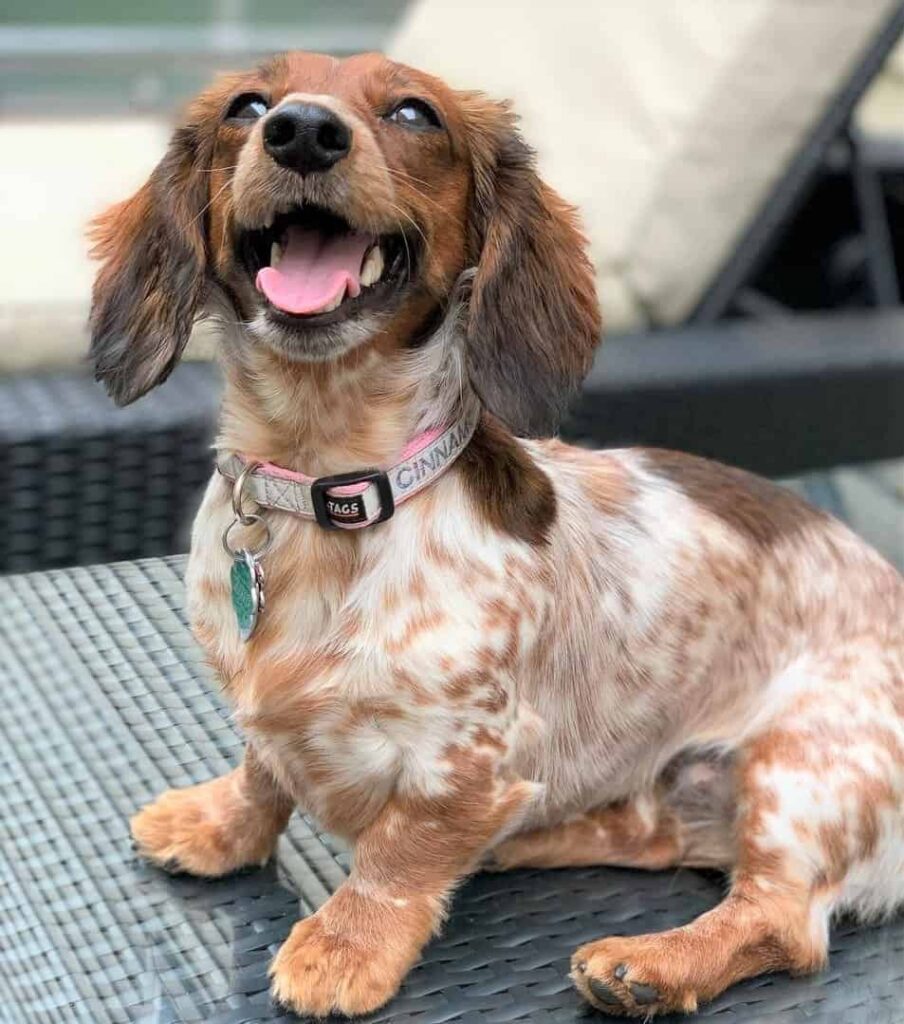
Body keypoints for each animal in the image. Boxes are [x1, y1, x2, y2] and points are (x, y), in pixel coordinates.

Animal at [90, 49, 904, 1015]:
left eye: (414, 113)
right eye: (248, 106)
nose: (302, 131)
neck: (328, 490)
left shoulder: (465, 758)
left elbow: (400, 850)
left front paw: (345, 945)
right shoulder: (276, 721)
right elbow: (262, 768)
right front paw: (219, 826)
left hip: (806, 766)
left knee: (783, 919)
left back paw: (650, 964)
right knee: (657, 836)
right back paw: (535, 839)